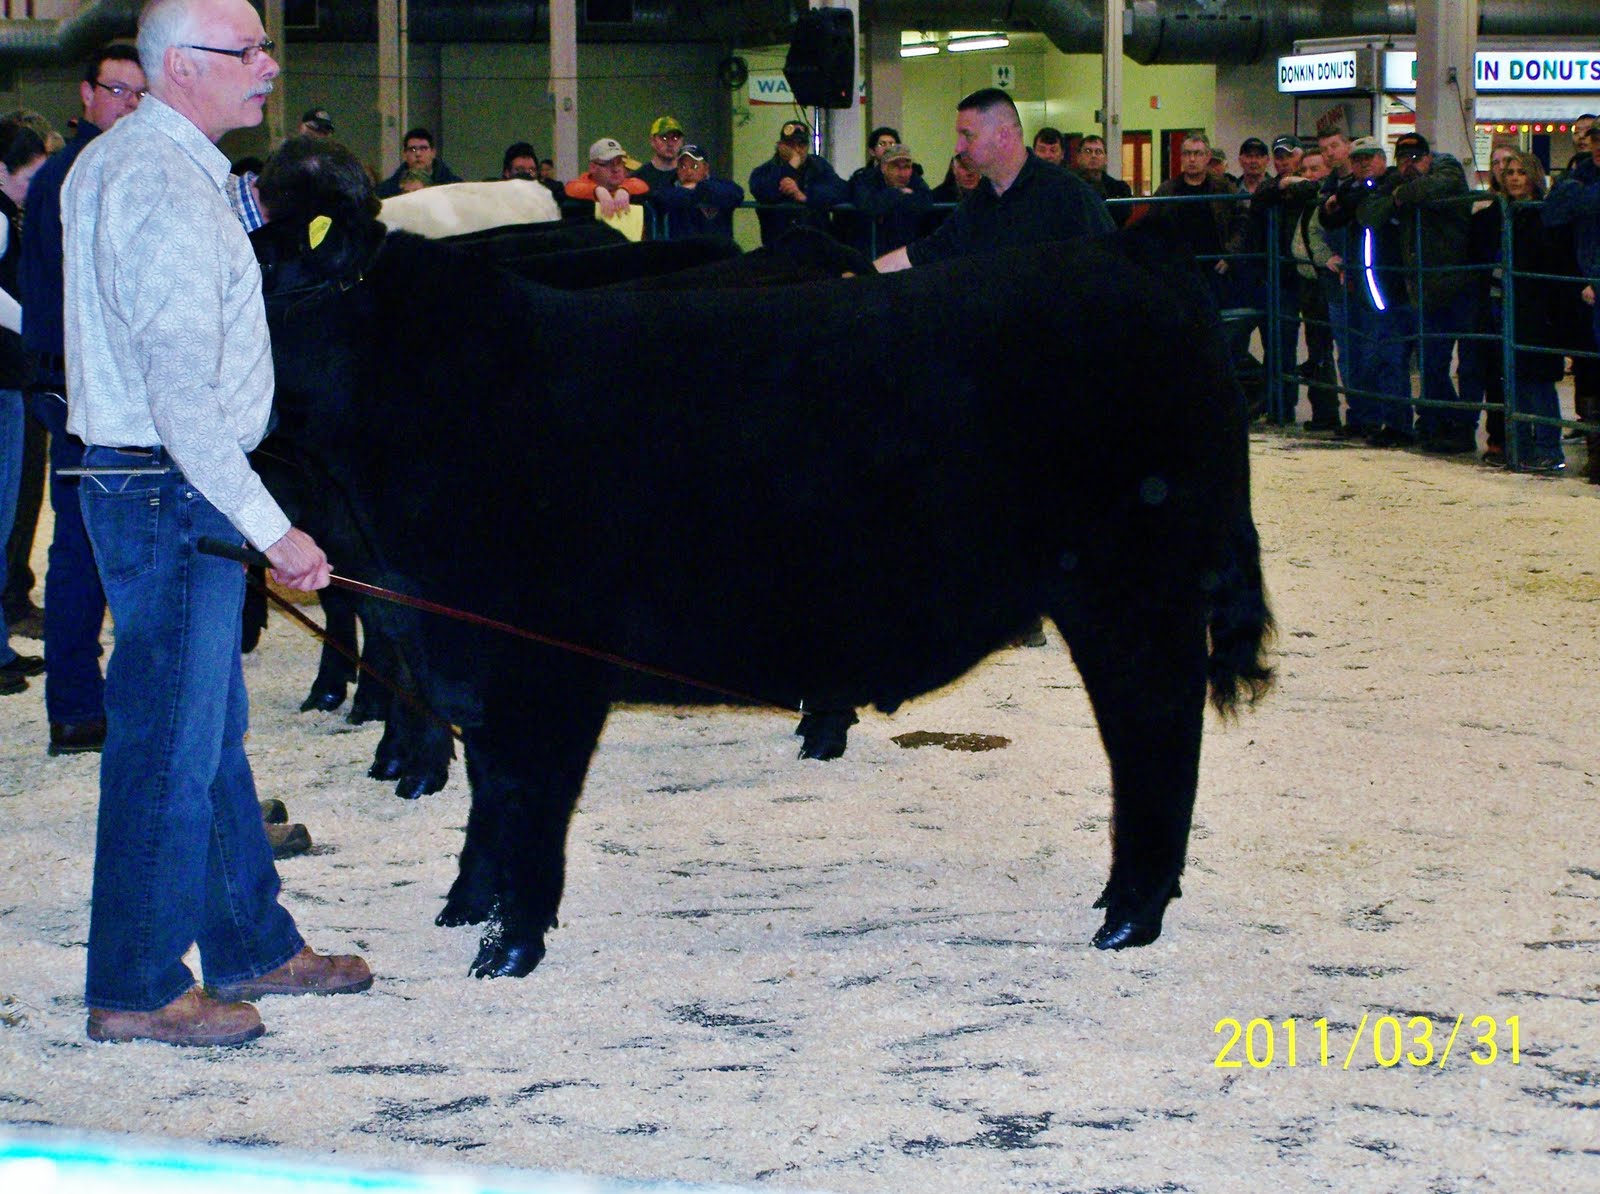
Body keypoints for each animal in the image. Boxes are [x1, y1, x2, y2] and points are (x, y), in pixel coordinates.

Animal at [251, 142, 1273, 978]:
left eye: (257, 268)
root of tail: (1134, 257)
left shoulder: (536, 663)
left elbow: (522, 798)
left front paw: (507, 946)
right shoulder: (451, 643)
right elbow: (484, 797)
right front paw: (465, 905)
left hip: (1132, 594)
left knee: (1156, 730)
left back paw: (1129, 915)